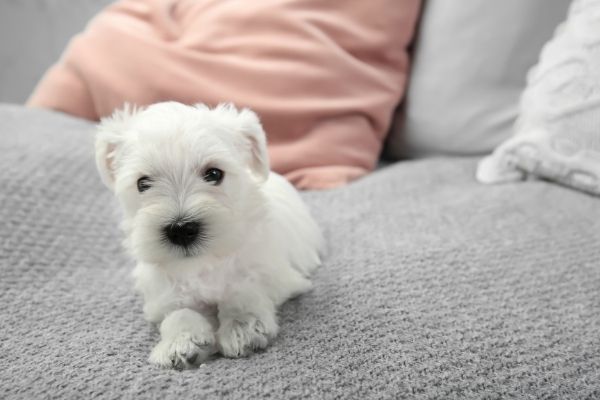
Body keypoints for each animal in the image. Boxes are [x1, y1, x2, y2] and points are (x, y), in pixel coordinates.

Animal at [95, 101, 324, 370]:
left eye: (214, 174)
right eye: (143, 183)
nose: (181, 229)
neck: (206, 262)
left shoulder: (280, 276)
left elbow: (244, 289)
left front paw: (242, 326)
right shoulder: (161, 295)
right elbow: (178, 313)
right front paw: (181, 342)